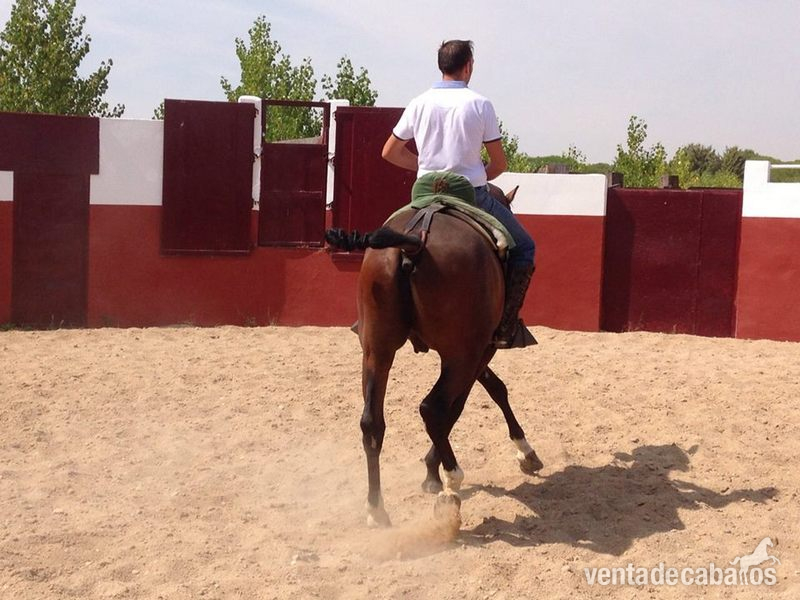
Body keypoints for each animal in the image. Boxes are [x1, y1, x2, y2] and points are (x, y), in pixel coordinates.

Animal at [328, 182, 543, 528]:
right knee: (432, 407)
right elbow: (469, 402)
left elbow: (488, 390)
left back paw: (376, 509)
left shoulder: (471, 354)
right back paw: (452, 481)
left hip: (377, 350)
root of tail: (413, 243)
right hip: (460, 354)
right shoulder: (477, 351)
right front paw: (523, 451)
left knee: (372, 423)